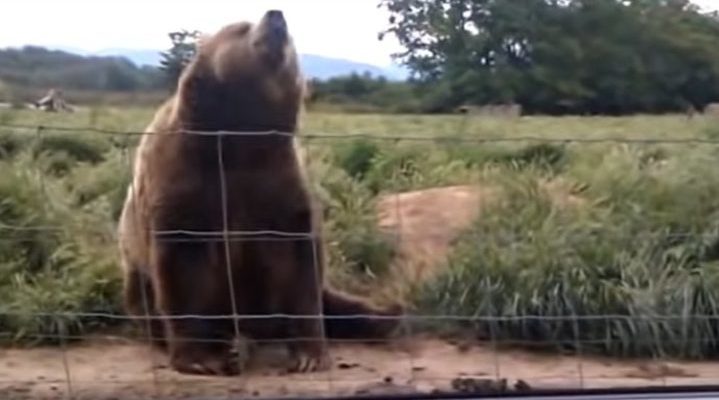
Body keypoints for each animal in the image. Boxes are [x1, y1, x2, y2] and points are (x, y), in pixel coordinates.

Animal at [115, 10, 402, 378]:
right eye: (240, 27)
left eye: (292, 36)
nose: (276, 17)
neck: (240, 138)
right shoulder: (187, 183)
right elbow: (183, 269)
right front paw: (201, 358)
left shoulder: (277, 184)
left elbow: (299, 267)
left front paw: (310, 355)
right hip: (136, 276)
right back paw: (232, 345)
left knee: (334, 300)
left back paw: (386, 316)